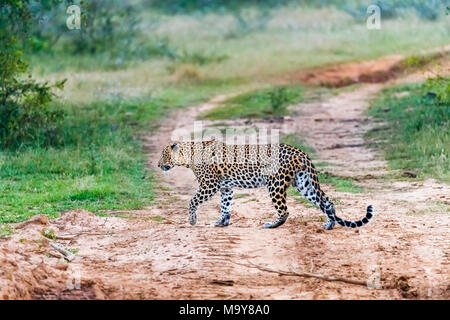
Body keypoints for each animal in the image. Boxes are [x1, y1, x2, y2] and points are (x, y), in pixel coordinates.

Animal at [156, 141, 374, 230]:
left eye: (164, 155)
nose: (158, 165)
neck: (188, 155)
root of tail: (301, 152)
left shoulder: (208, 185)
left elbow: (192, 201)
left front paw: (192, 220)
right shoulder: (225, 187)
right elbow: (226, 205)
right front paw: (222, 222)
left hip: (275, 183)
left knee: (284, 210)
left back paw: (272, 224)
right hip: (304, 183)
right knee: (327, 202)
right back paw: (330, 224)